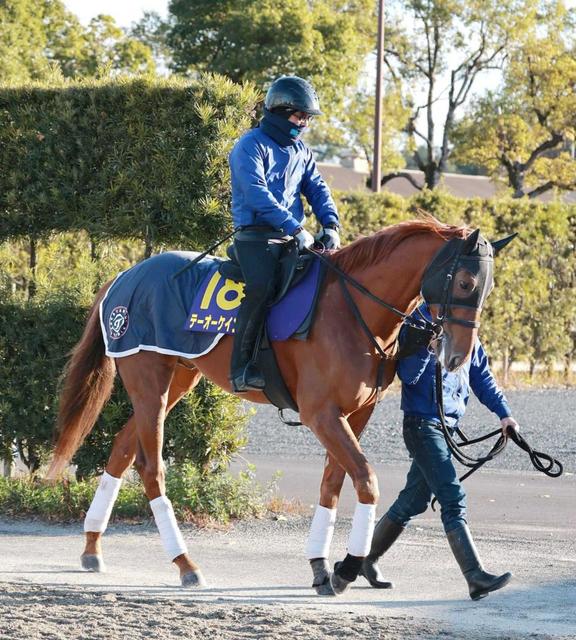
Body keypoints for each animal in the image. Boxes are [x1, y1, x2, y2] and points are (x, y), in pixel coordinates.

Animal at [47, 219, 504, 596]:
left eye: (488, 287)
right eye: (465, 282)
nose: (458, 356)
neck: (352, 310)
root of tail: (127, 275)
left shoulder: (355, 414)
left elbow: (332, 484)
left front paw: (322, 568)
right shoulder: (322, 414)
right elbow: (366, 479)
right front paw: (348, 566)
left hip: (177, 378)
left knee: (123, 447)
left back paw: (92, 546)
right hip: (148, 381)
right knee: (150, 466)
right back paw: (185, 563)